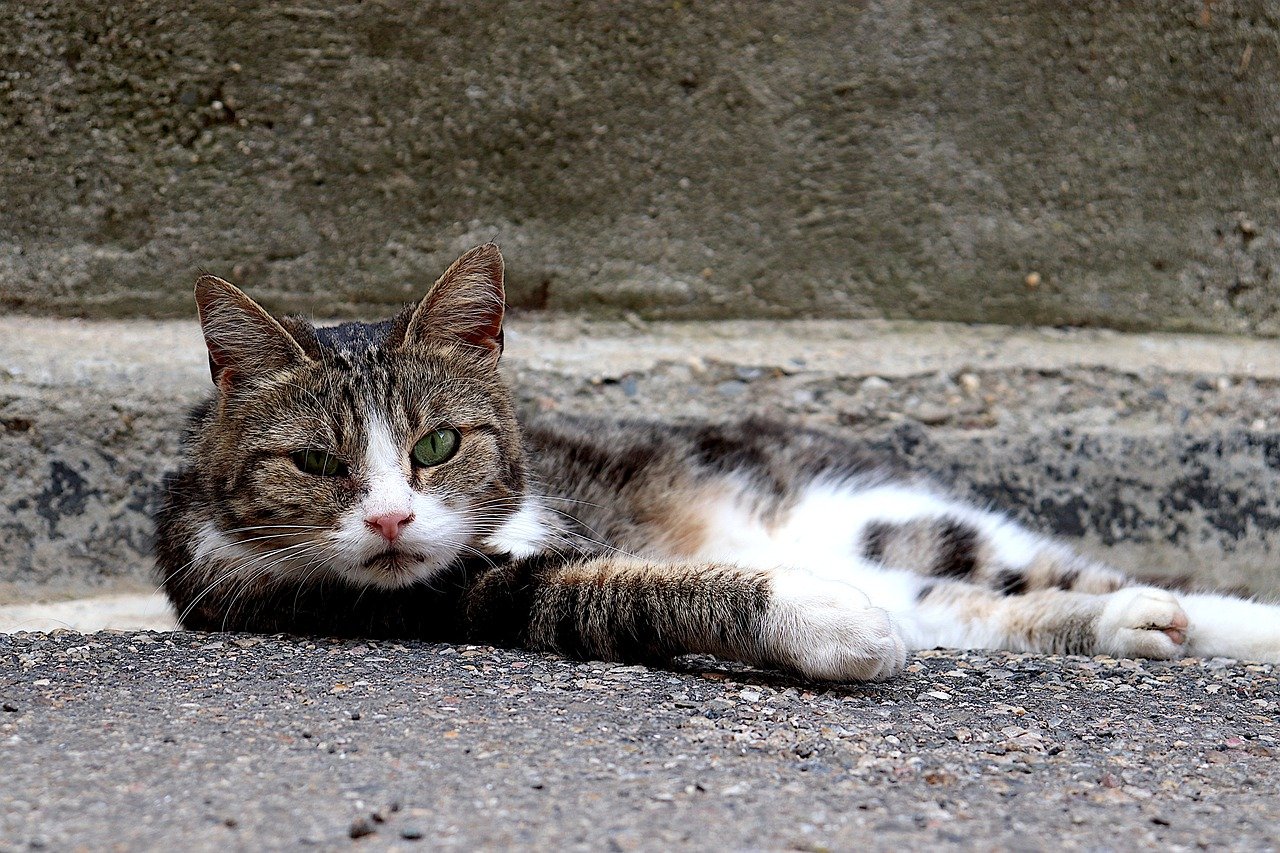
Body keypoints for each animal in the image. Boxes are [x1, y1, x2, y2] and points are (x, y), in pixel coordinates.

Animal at [154, 244, 1280, 676]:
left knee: (1037, 570)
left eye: (436, 444)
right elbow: (650, 588)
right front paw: (828, 623)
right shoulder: (448, 597)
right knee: (994, 598)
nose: (390, 518)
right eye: (314, 463)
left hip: (893, 514)